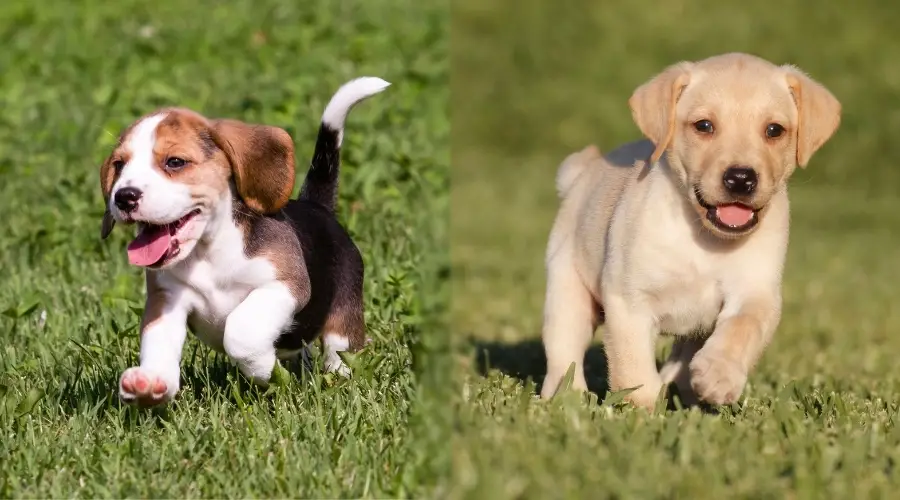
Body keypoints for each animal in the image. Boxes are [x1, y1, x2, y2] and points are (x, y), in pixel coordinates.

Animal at [101, 77, 390, 406]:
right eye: (119, 165)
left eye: (175, 162)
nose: (124, 197)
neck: (209, 252)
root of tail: (317, 207)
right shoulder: (167, 299)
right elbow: (158, 341)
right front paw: (150, 382)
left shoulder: (284, 285)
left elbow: (241, 331)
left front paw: (266, 371)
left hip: (343, 320)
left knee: (338, 352)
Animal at [540, 52, 844, 408]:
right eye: (704, 126)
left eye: (774, 130)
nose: (740, 178)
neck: (705, 237)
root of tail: (585, 170)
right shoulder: (629, 301)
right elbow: (633, 368)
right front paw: (643, 412)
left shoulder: (757, 291)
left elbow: (742, 327)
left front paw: (718, 376)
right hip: (568, 289)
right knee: (564, 352)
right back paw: (566, 399)